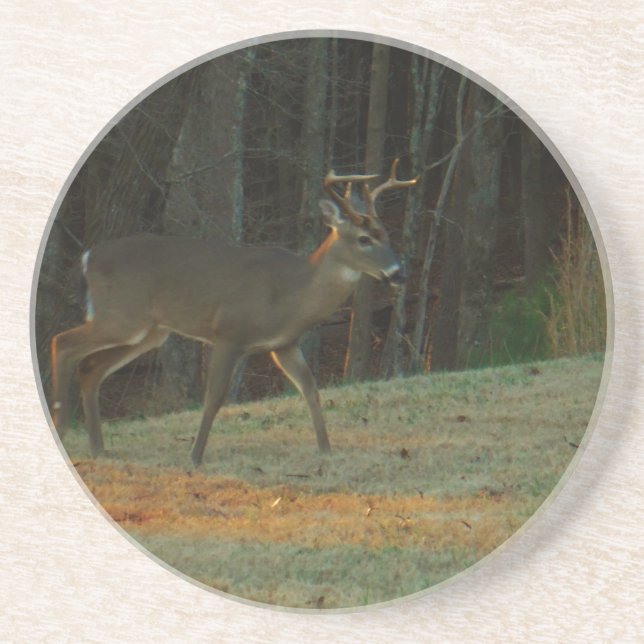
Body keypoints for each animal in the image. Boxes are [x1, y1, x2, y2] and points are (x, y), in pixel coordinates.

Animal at [49, 159, 418, 466]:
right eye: (364, 238)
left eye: (386, 234)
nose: (399, 273)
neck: (291, 295)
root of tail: (88, 257)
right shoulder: (229, 333)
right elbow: (214, 396)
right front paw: (195, 457)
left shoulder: (283, 344)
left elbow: (311, 390)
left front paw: (326, 450)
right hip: (122, 316)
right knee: (62, 342)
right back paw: (63, 428)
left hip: (149, 331)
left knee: (91, 366)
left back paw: (98, 448)